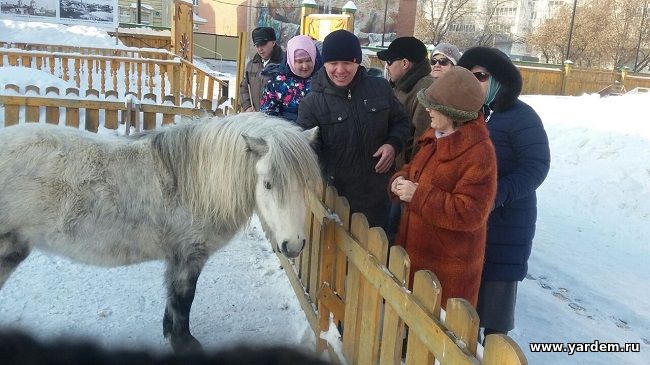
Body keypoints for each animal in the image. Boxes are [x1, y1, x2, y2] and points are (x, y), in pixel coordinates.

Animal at [0, 113, 320, 350]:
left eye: (305, 184)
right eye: (267, 184)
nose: (294, 245)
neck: (192, 185)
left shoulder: (177, 258)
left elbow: (172, 300)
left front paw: (170, 333)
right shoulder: (189, 257)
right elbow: (183, 299)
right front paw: (184, 343)